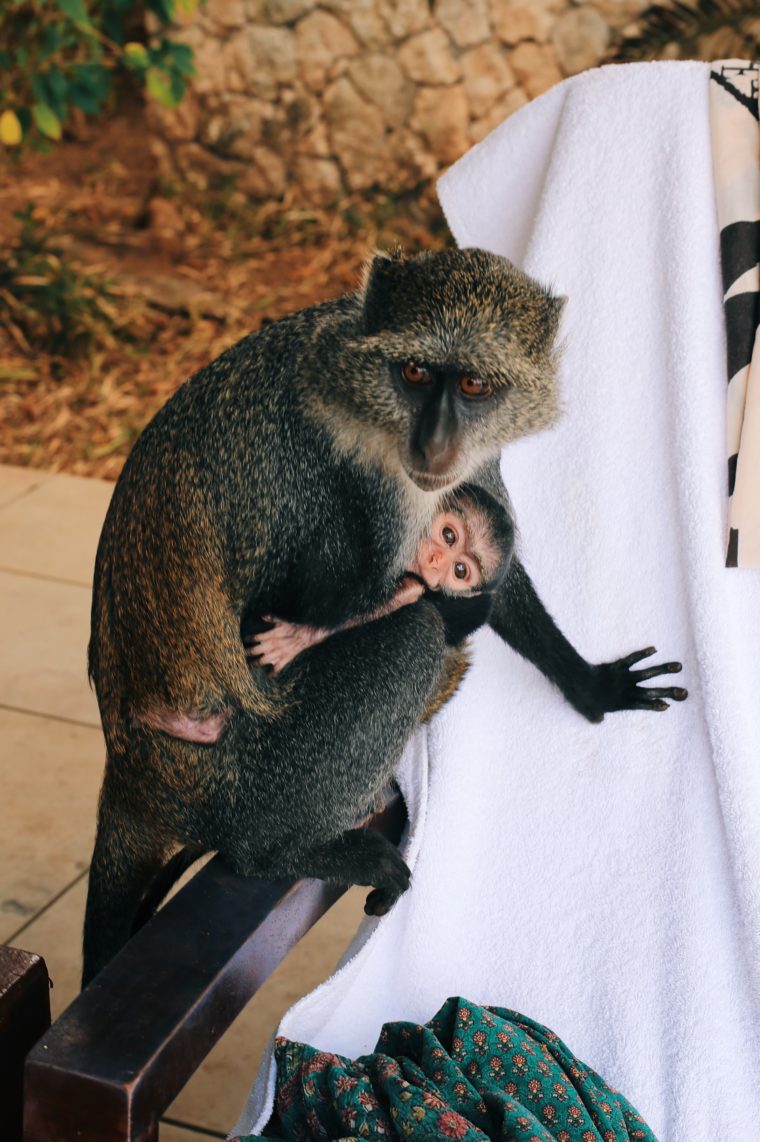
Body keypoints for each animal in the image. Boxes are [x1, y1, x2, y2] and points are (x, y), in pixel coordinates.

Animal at [81, 254, 681, 986]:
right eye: (415, 373)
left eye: (474, 384)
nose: (435, 441)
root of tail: (134, 773)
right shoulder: (343, 477)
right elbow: (344, 601)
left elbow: (492, 559)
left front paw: (591, 685)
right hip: (243, 773)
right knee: (416, 637)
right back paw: (279, 853)